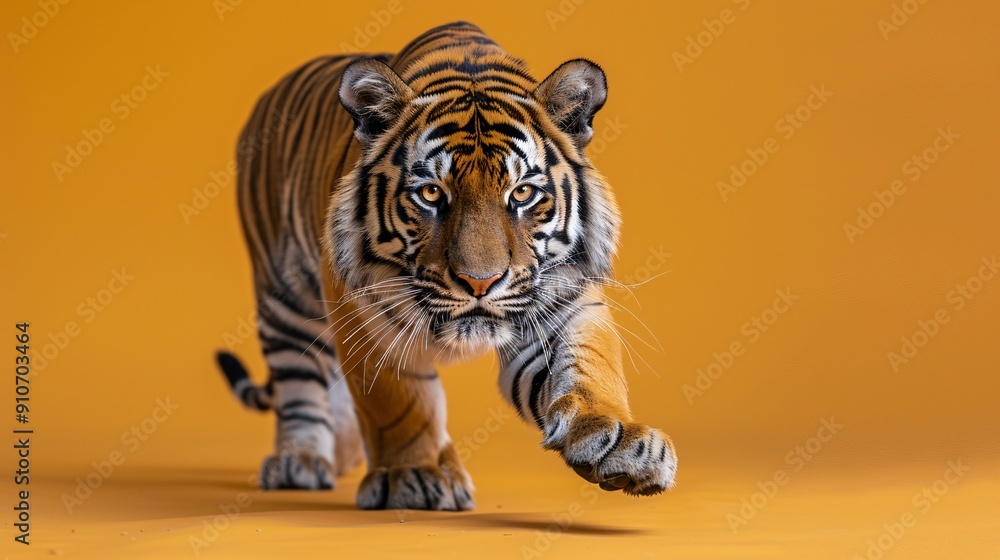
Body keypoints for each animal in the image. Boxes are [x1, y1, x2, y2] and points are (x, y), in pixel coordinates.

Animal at [216, 21, 677, 511]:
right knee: (300, 380)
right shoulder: (363, 306)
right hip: (283, 297)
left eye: (522, 193)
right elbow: (397, 399)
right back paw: (302, 461)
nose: (480, 282)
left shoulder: (561, 299)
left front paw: (620, 443)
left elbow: (589, 366)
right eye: (431, 193)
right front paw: (411, 474)